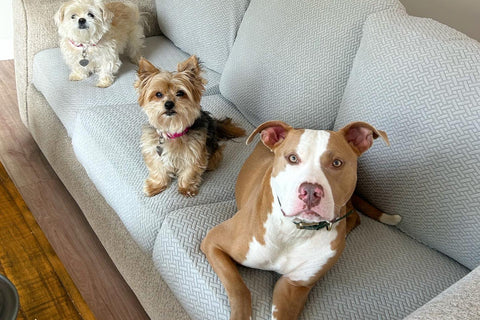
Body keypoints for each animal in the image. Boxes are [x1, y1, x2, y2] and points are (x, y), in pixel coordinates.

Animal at [201, 120, 400, 320]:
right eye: (293, 158)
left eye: (337, 163)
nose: (311, 191)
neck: (294, 231)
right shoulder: (213, 242)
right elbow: (239, 288)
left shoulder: (293, 286)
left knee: (355, 217)